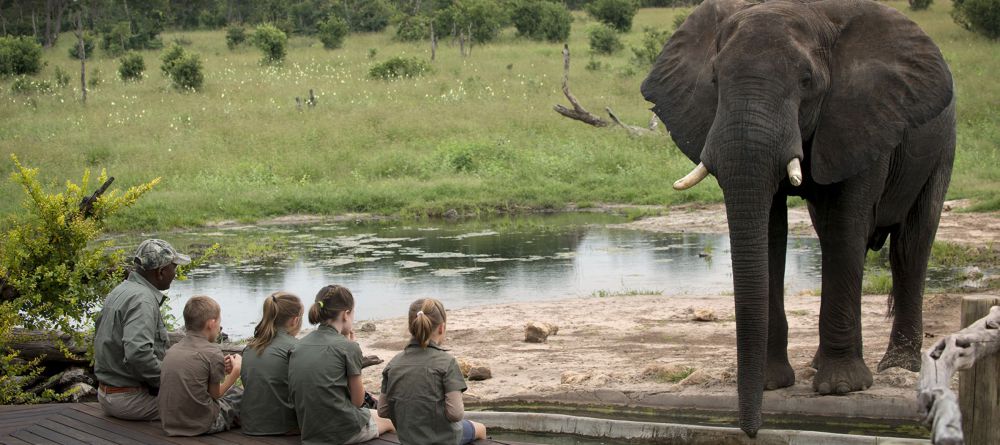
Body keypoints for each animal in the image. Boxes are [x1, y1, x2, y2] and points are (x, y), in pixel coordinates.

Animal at [640, 0, 952, 436]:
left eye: (807, 81)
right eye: (715, 79)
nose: (751, 431)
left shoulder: (859, 115)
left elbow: (846, 223)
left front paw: (841, 388)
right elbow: (770, 230)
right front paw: (772, 384)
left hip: (941, 143)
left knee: (911, 244)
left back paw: (897, 367)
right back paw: (825, 363)